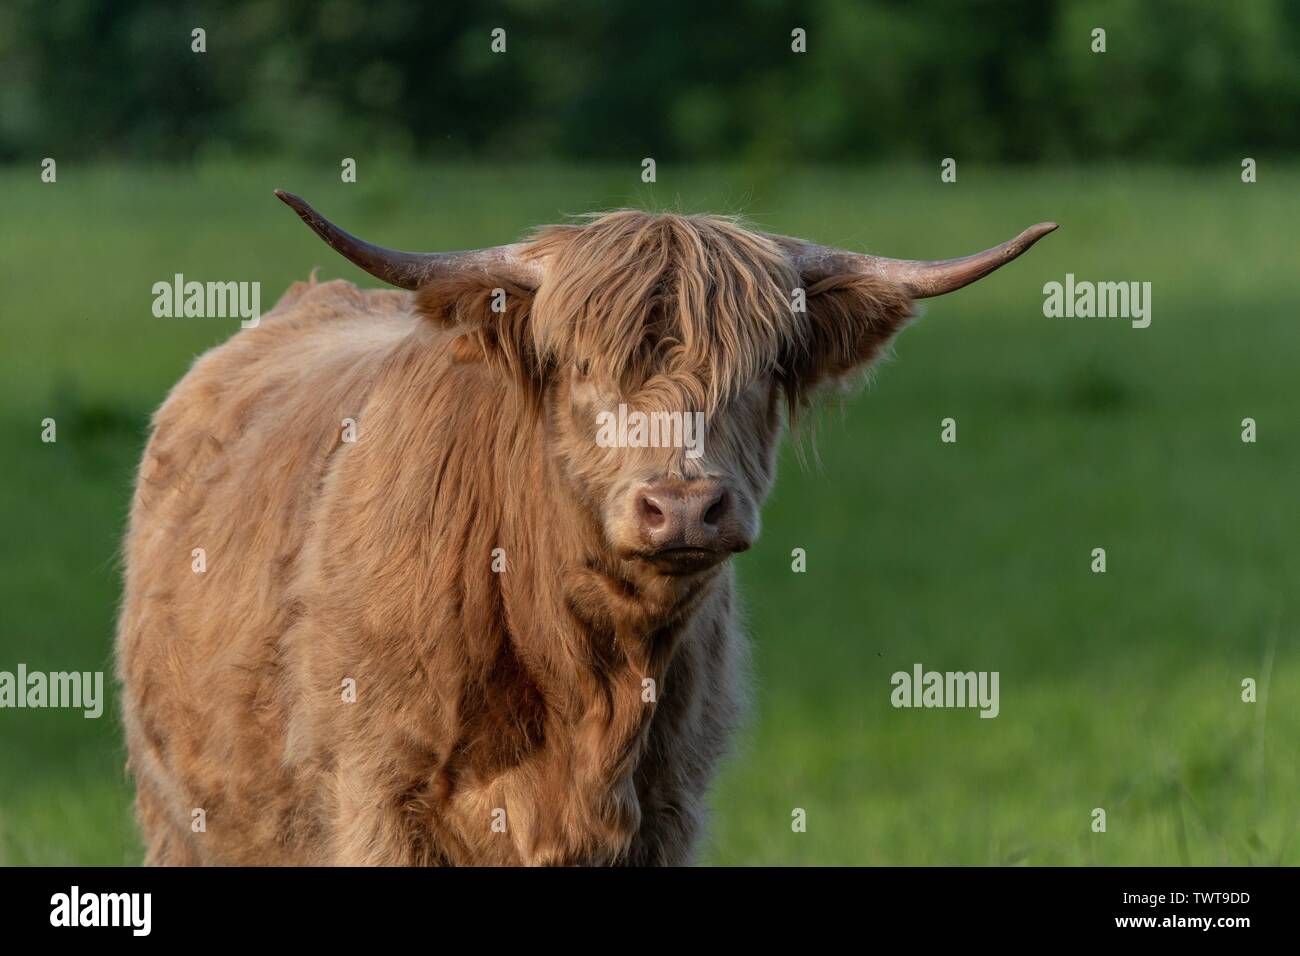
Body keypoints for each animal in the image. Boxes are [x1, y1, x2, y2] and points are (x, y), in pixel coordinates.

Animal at [116, 192, 1054, 865]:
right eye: (580, 368)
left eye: (761, 371)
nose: (684, 505)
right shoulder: (374, 799)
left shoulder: (667, 811)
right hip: (182, 818)